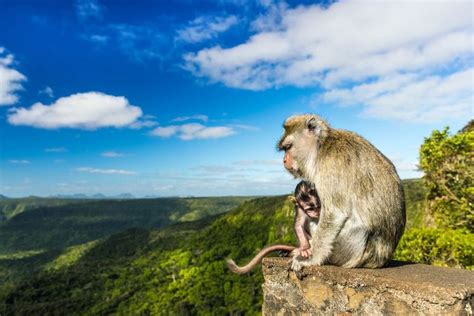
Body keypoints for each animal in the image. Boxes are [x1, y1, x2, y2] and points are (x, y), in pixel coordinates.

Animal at [280, 115, 406, 270]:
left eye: (288, 147)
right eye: (284, 149)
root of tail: (377, 261)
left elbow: (334, 213)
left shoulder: (330, 167)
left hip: (348, 249)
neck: (322, 147)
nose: (284, 160)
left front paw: (310, 258)